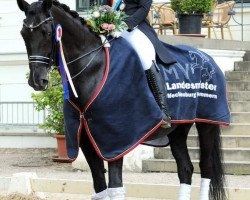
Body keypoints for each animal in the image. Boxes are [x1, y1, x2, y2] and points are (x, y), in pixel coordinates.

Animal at [17, 0, 229, 200]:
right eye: (23, 34)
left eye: (46, 32)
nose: (37, 80)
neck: (94, 68)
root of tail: (207, 58)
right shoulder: (86, 139)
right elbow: (100, 188)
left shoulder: (115, 140)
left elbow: (115, 188)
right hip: (178, 129)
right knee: (185, 168)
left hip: (207, 124)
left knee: (206, 168)